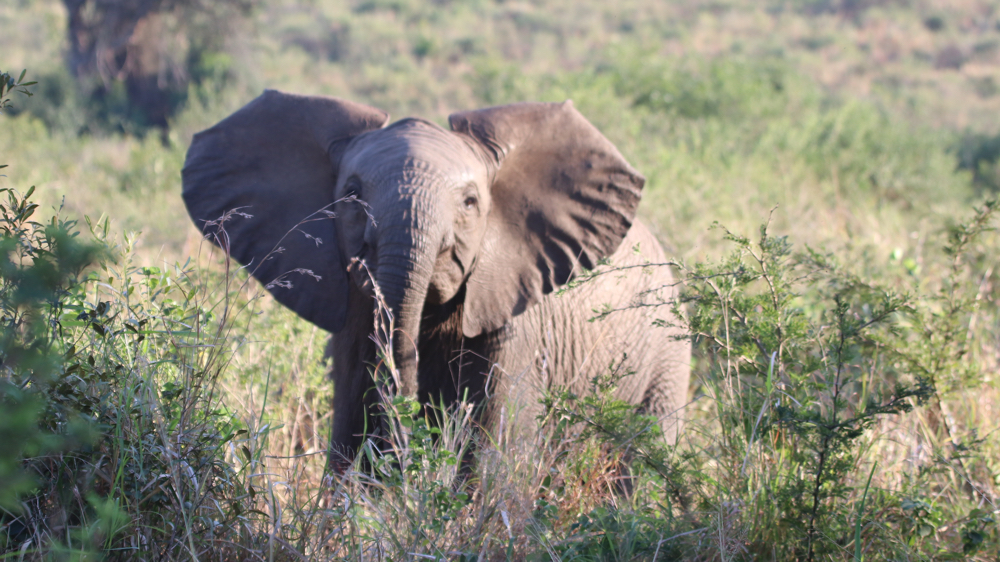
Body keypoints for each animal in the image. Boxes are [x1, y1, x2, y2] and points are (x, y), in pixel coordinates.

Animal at [181, 90, 691, 469]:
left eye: (469, 203)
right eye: (352, 195)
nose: (413, 431)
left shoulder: (514, 313)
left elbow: (493, 458)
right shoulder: (354, 311)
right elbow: (350, 441)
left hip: (668, 361)